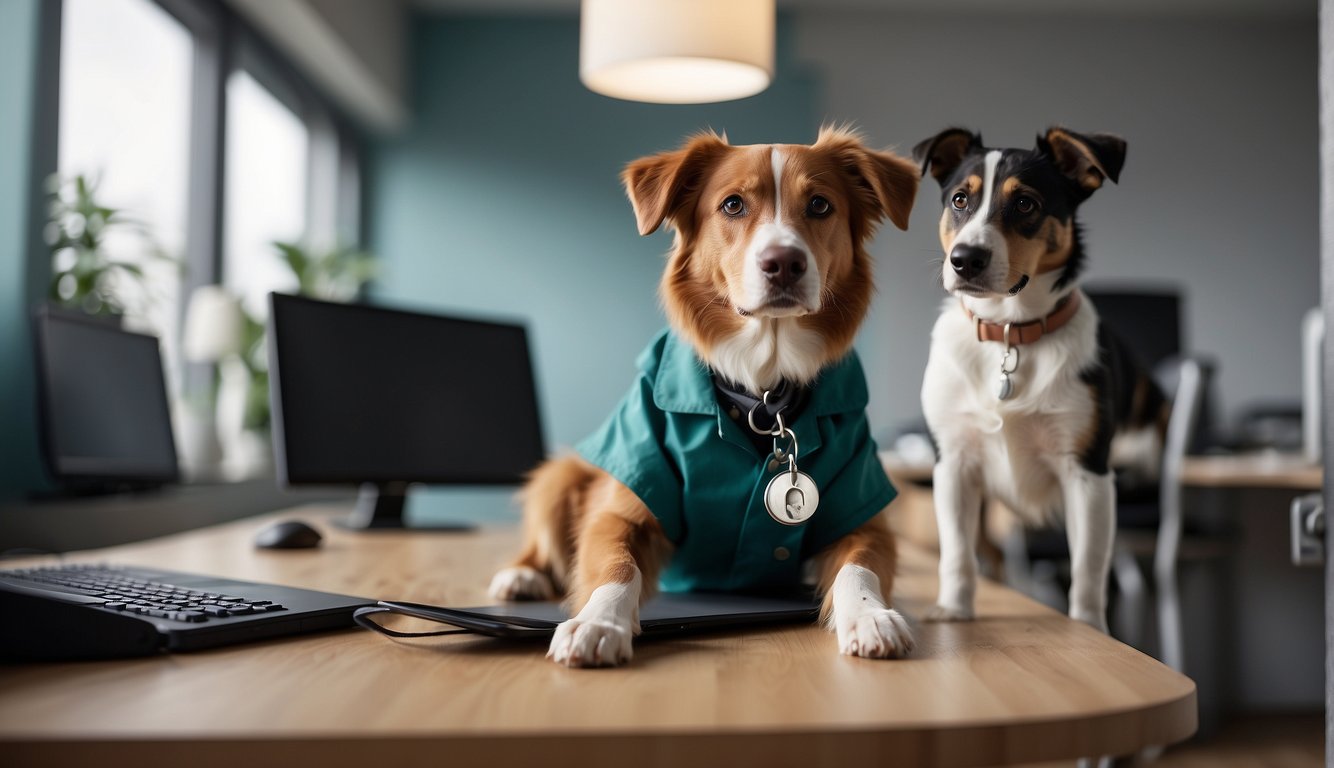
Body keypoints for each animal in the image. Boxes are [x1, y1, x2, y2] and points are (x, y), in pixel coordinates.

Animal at [488, 126, 917, 666]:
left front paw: (869, 615)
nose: (784, 263)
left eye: (820, 205)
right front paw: (598, 620)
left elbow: (859, 566)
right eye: (733, 204)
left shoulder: (865, 516)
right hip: (561, 474)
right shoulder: (620, 509)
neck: (763, 391)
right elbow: (617, 565)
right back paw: (521, 575)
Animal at [912, 126, 1163, 629]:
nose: (964, 259)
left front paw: (1088, 628)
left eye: (1026, 204)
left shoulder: (1088, 473)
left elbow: (1088, 567)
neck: (1010, 332)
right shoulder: (953, 465)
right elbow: (957, 553)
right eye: (959, 199)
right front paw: (954, 609)